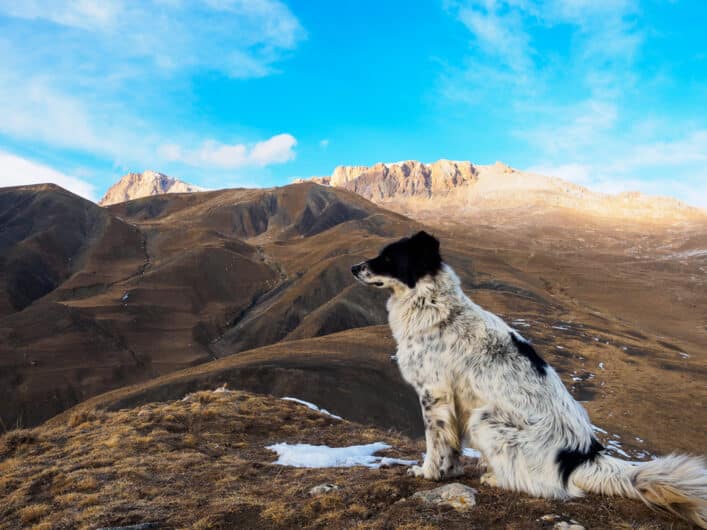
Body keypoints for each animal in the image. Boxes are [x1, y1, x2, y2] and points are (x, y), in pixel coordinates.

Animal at [354, 230, 707, 524]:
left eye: (388, 257)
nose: (354, 267)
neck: (433, 304)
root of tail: (583, 455)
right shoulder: (450, 401)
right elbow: (451, 445)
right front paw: (450, 470)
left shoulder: (434, 392)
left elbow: (436, 440)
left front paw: (429, 473)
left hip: (485, 420)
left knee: (543, 486)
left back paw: (496, 477)